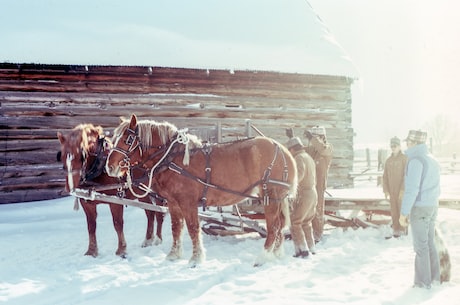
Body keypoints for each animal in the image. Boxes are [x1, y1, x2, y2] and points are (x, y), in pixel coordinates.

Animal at [56, 123, 165, 256]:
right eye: (61, 156)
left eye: (82, 156)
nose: (70, 187)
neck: (99, 167)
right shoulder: (86, 203)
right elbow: (91, 226)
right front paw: (91, 251)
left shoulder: (116, 201)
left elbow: (118, 224)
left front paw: (121, 250)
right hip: (143, 194)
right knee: (150, 213)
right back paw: (148, 240)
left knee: (160, 214)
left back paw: (158, 240)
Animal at [104, 113, 298, 264]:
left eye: (128, 139)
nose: (110, 167)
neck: (173, 158)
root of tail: (282, 149)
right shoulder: (173, 203)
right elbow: (176, 228)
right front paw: (173, 255)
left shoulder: (187, 202)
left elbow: (192, 228)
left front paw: (196, 259)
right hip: (277, 198)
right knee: (280, 225)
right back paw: (276, 254)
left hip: (270, 195)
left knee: (273, 226)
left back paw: (263, 257)